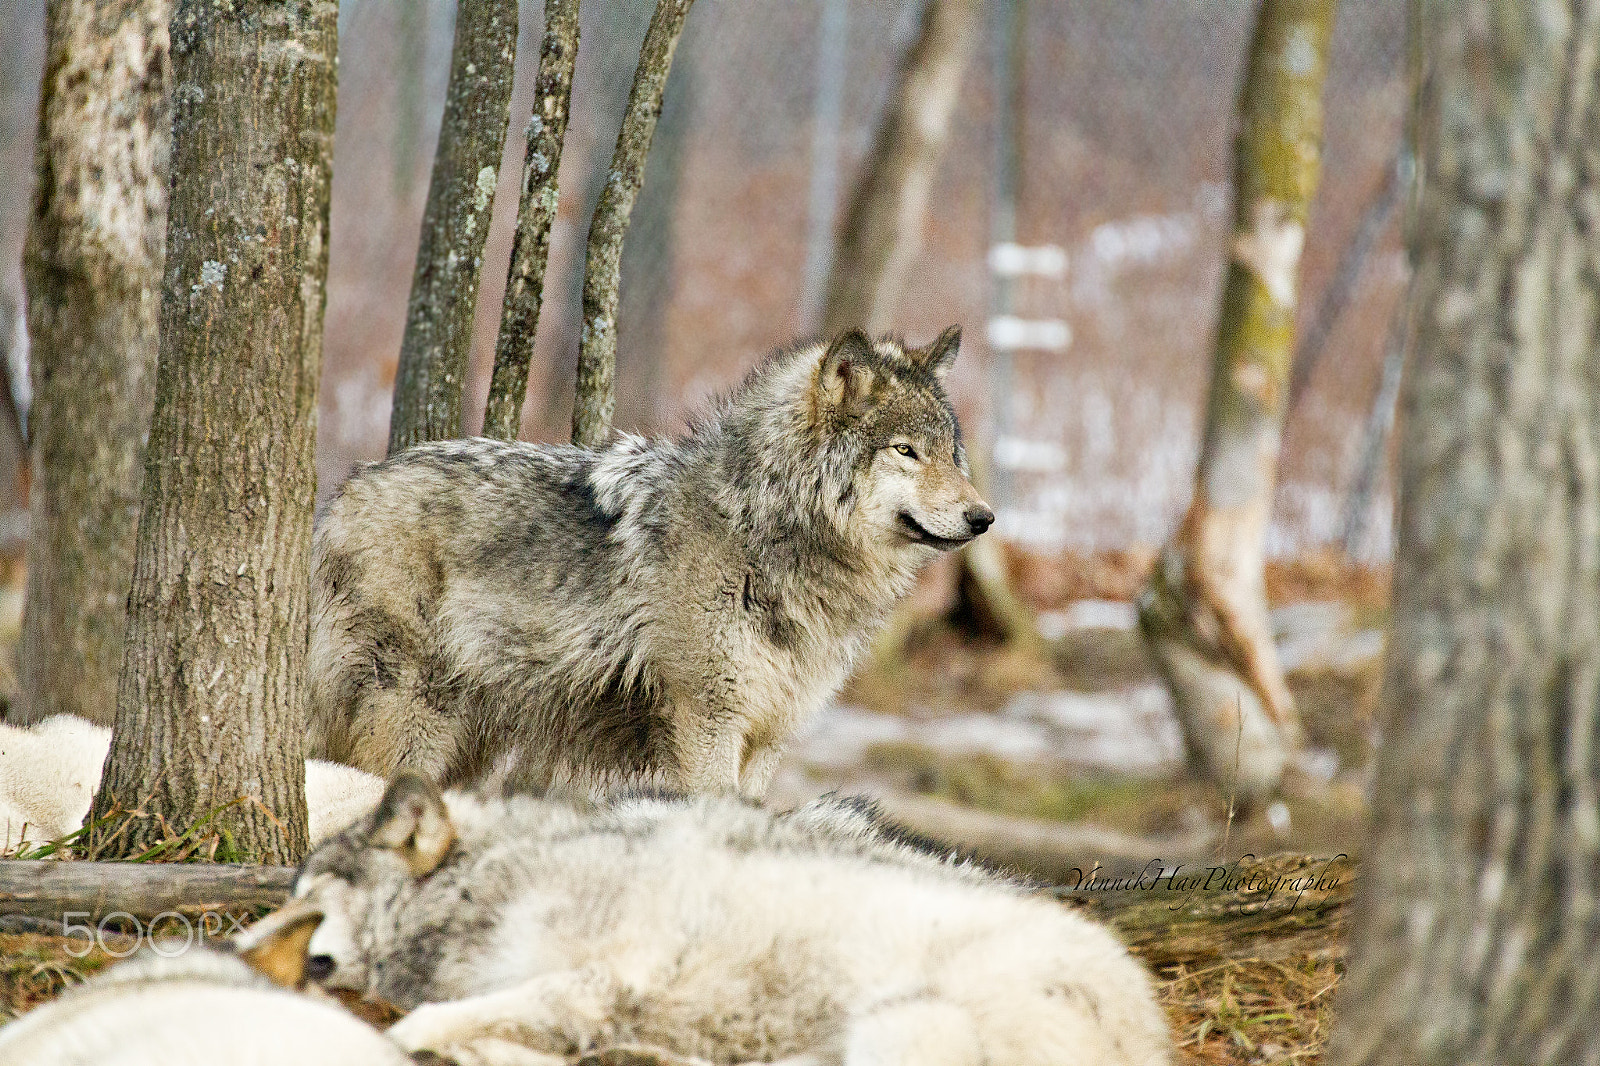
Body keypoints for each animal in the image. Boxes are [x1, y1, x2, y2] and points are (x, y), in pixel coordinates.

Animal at [306, 328, 992, 798]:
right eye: (906, 451)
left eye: (951, 454)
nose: (985, 518)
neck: (762, 528)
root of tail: (338, 497)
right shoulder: (707, 721)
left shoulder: (769, 738)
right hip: (414, 724)